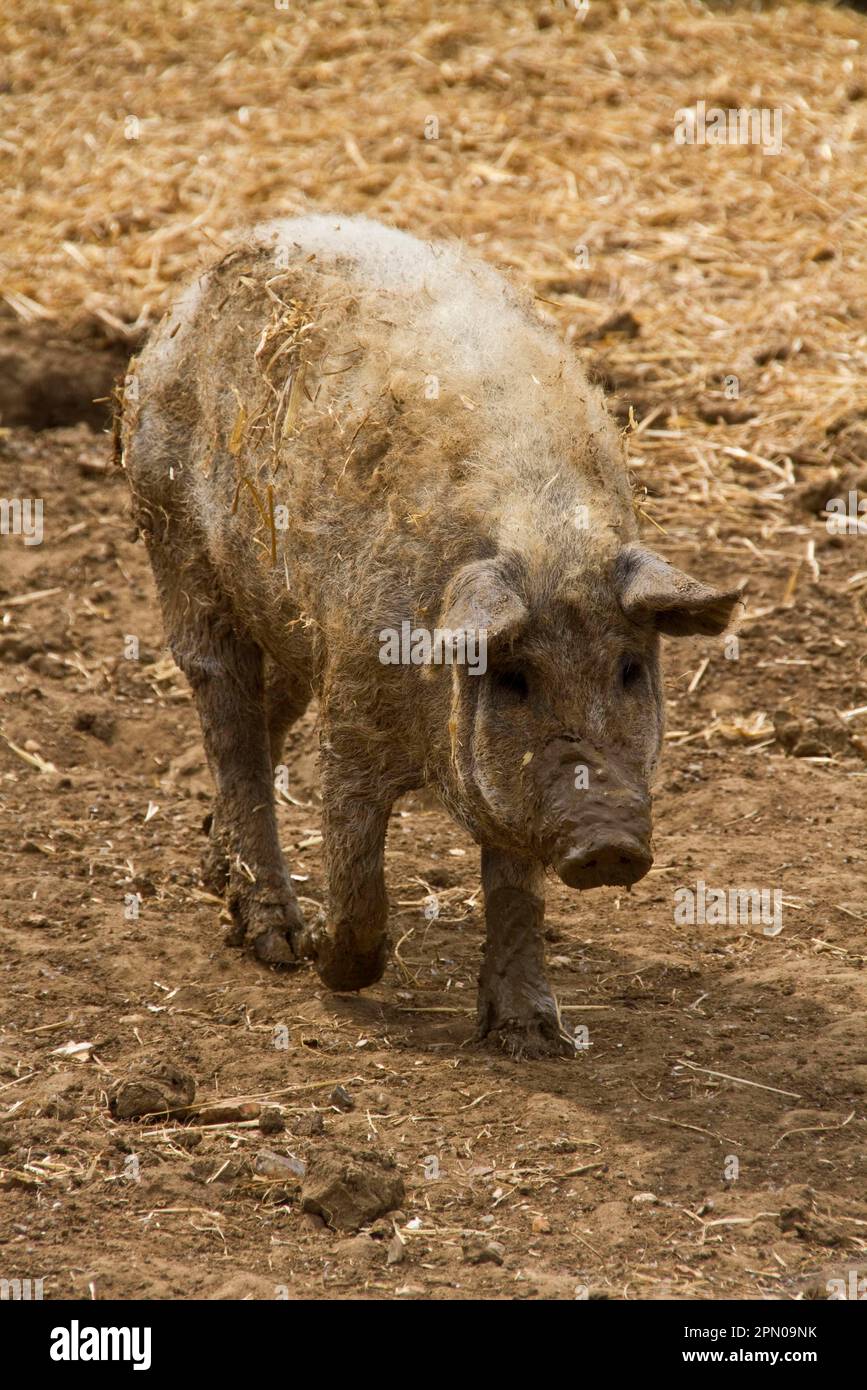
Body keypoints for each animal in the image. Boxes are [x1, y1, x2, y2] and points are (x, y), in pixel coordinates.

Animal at [121, 214, 741, 1058]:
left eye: (628, 671)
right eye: (513, 678)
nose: (608, 841)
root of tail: (185, 301)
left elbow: (514, 892)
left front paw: (533, 1040)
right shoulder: (352, 704)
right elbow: (358, 871)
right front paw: (325, 958)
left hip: (286, 620)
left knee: (266, 714)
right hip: (177, 542)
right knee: (228, 716)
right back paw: (276, 942)